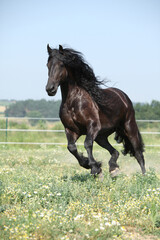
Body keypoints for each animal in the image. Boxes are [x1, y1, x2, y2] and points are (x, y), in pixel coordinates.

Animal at [45, 44, 146, 176]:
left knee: (138, 153)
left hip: (129, 127)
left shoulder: (92, 126)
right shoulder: (71, 130)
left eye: (61, 65)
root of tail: (123, 96)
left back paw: (144, 176)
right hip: (101, 136)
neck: (74, 102)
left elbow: (87, 144)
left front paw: (94, 168)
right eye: (47, 65)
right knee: (115, 152)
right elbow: (71, 147)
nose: (50, 89)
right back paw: (113, 169)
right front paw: (88, 164)